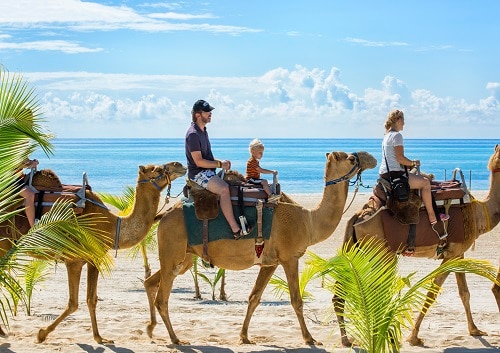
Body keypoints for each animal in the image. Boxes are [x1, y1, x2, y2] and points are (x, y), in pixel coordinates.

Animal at [0, 162, 188, 340]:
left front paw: (99, 337)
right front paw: (41, 334)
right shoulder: (74, 260)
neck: (111, 225)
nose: (180, 165)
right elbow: (73, 303)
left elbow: (92, 299)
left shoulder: (94, 258)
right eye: (157, 169)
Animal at [143, 149, 376, 344]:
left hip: (182, 257)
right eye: (352, 158)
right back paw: (175, 339)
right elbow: (296, 300)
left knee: (151, 282)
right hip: (173, 248)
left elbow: (254, 297)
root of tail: (164, 215)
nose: (371, 158)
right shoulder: (290, 257)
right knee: (162, 298)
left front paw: (244, 336)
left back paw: (151, 329)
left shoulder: (270, 262)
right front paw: (309, 338)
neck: (308, 220)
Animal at [334, 144, 500, 346]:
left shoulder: (458, 253)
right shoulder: (452, 254)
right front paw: (413, 337)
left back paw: (349, 339)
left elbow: (464, 293)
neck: (478, 214)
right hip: (381, 253)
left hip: (359, 250)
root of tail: (358, 217)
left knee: (342, 292)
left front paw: (475, 330)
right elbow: (432, 293)